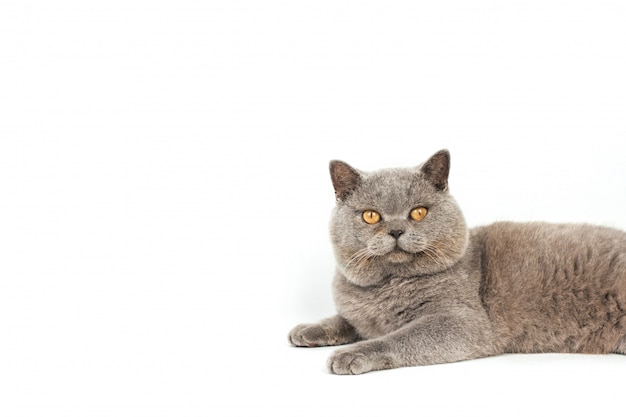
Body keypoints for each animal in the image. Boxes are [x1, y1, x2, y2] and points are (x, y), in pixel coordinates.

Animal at [286, 149, 624, 374]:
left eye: (418, 212)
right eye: (371, 216)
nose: (396, 230)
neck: (387, 286)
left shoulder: (461, 320)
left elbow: (399, 337)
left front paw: (350, 354)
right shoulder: (360, 314)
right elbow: (344, 319)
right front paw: (308, 330)